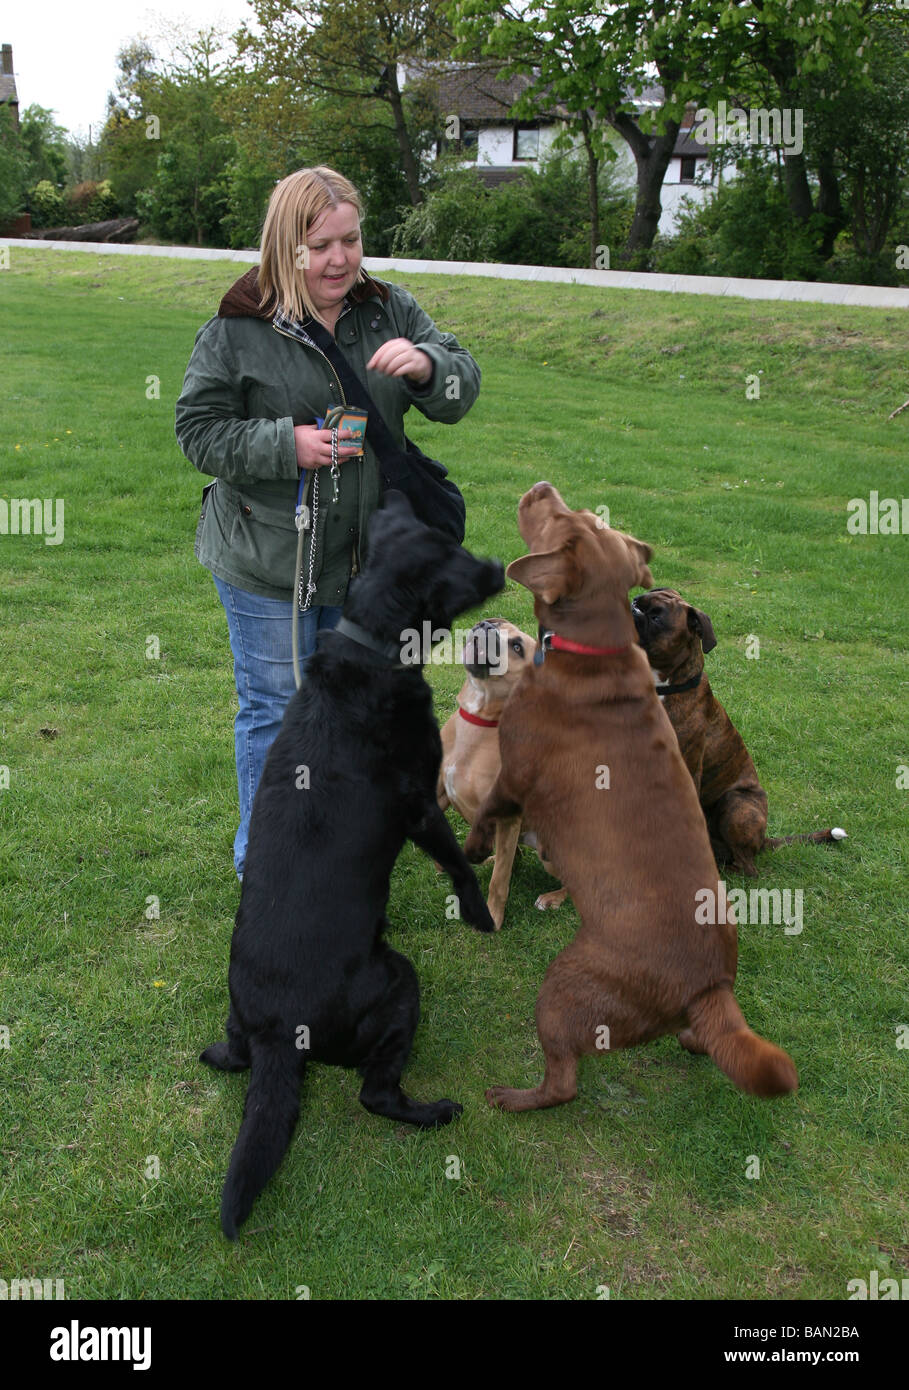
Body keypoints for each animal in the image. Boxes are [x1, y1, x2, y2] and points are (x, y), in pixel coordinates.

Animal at [201, 489, 505, 1239]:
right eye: (458, 560)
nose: (500, 564)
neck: (370, 648)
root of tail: (279, 1037)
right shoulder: (420, 806)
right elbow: (458, 860)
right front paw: (479, 915)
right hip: (400, 987)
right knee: (375, 1094)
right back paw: (432, 1112)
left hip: (241, 1024)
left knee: (232, 1060)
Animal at [633, 589, 845, 872]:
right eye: (639, 600)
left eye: (656, 617)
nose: (632, 606)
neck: (664, 686)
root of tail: (763, 841)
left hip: (735, 803)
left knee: (747, 866)